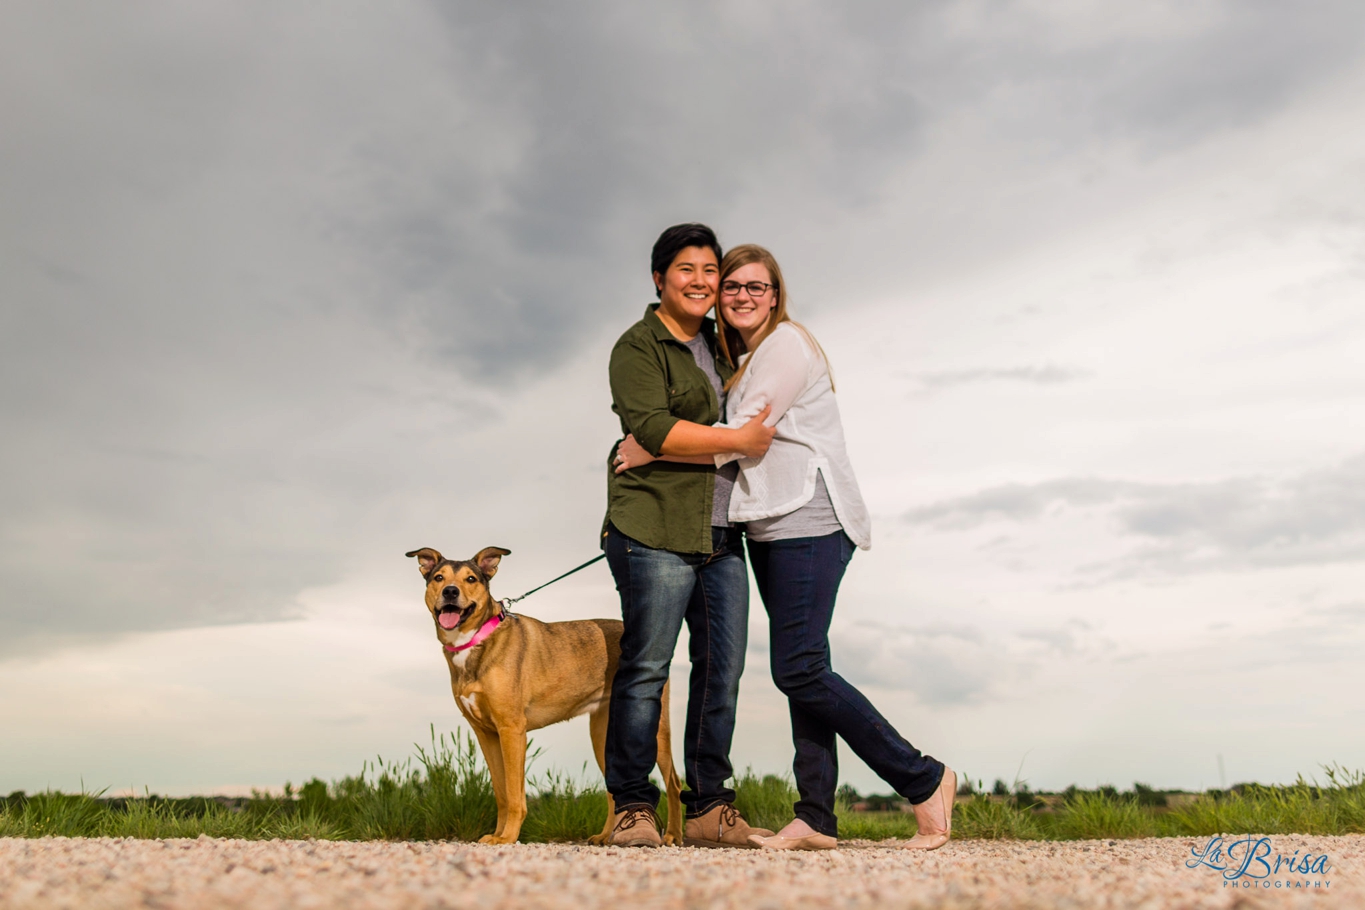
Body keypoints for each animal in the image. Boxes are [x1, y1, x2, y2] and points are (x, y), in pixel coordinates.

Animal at [401, 548, 682, 845]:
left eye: (471, 579)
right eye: (439, 577)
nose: (451, 592)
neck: (476, 639)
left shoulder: (512, 730)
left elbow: (514, 795)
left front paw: (508, 837)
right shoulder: (487, 734)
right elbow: (501, 793)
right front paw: (498, 834)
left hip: (656, 731)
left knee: (673, 783)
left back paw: (672, 835)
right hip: (602, 736)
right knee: (612, 789)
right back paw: (606, 835)